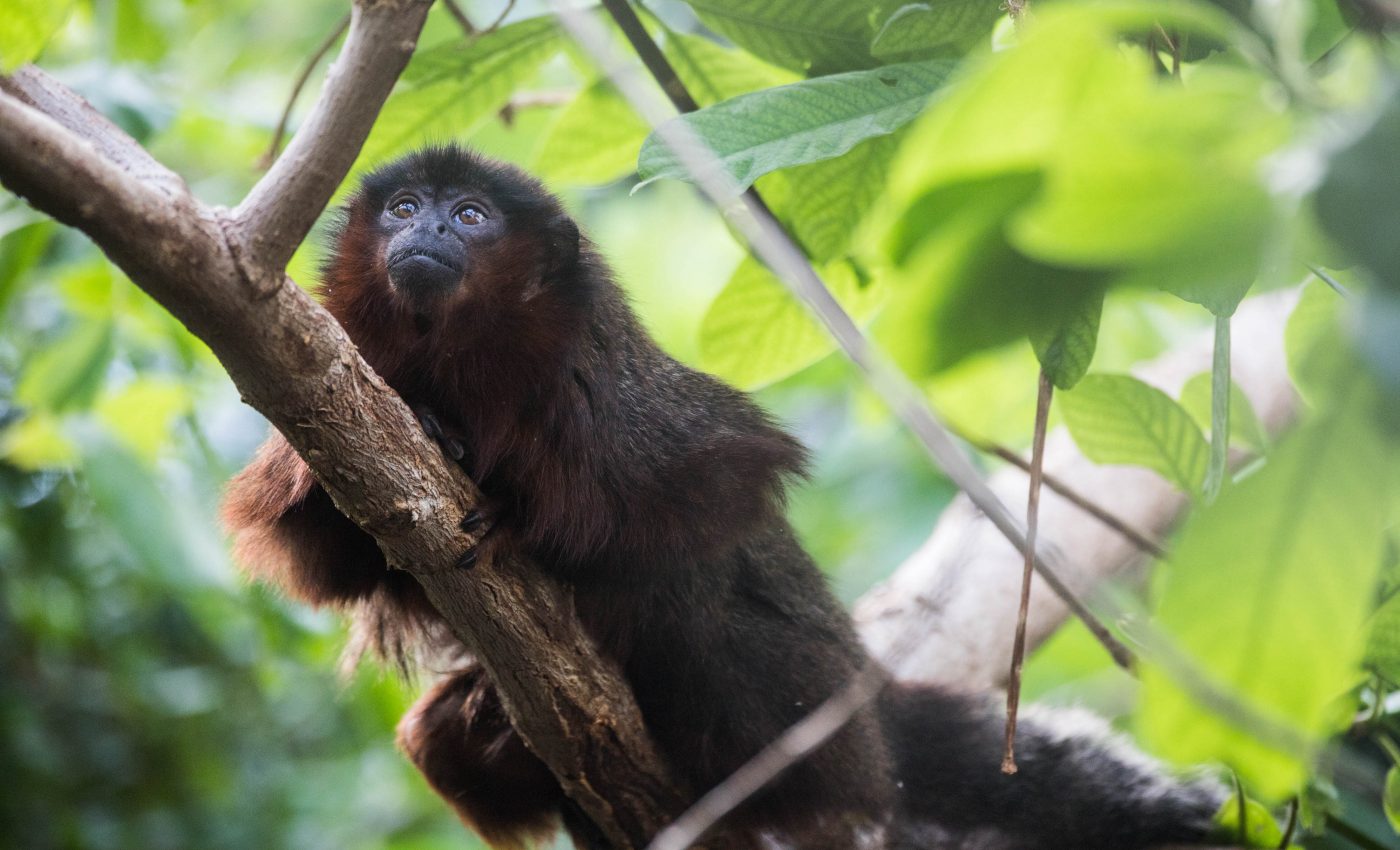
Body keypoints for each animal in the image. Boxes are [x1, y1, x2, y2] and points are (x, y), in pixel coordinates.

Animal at [222, 145, 1225, 850]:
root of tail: (865, 697)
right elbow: (325, 552)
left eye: (469, 215)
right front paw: (432, 436)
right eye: (401, 208)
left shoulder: (615, 400)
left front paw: (521, 521)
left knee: (698, 604)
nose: (422, 232)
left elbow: (711, 502)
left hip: (807, 702)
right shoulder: (346, 364)